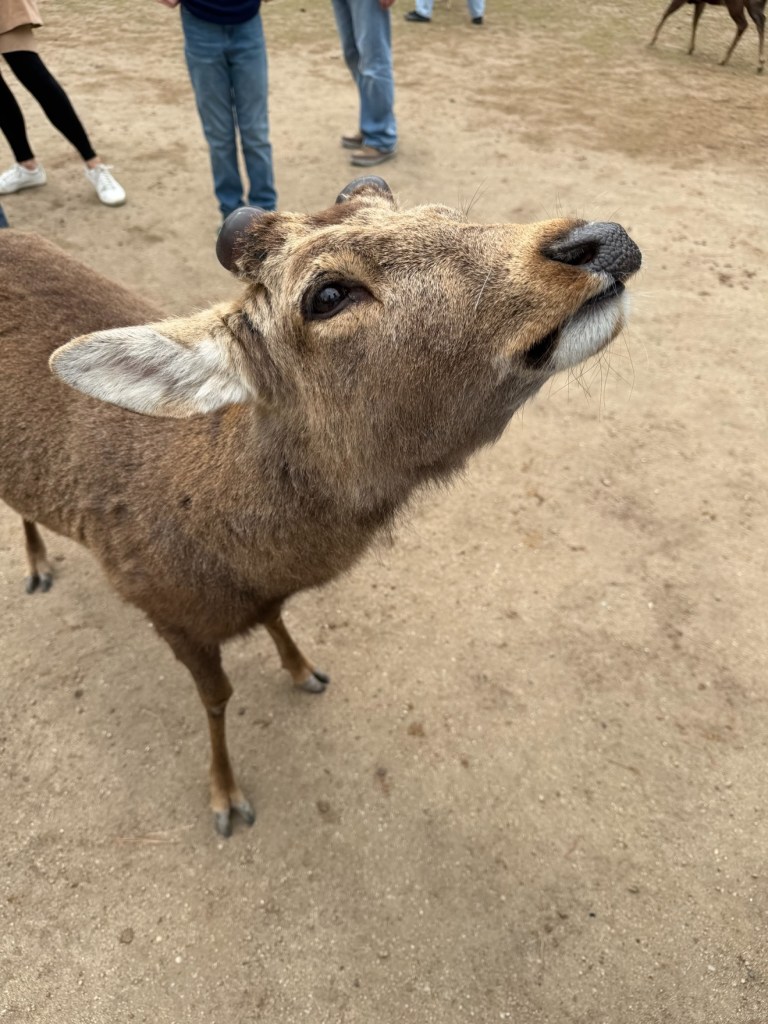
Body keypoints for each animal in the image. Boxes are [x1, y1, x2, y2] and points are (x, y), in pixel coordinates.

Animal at [0, 177, 642, 837]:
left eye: (442, 214)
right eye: (327, 294)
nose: (600, 239)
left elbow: (280, 622)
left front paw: (306, 670)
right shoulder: (163, 610)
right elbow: (216, 698)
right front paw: (226, 800)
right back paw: (37, 568)